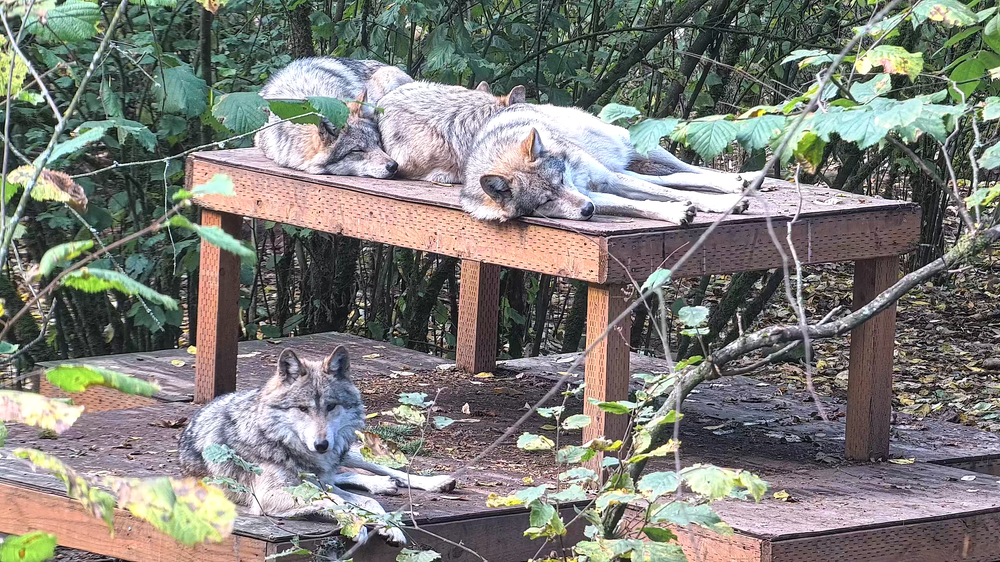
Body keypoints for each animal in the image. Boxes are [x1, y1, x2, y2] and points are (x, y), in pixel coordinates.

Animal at [178, 346, 456, 546]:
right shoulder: (269, 497)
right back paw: (382, 485)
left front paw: (390, 526)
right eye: (303, 409)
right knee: (343, 478)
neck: (281, 442)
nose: (321, 445)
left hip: (347, 449)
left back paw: (430, 482)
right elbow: (335, 500)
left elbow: (367, 503)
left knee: (379, 469)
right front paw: (356, 523)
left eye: (331, 406)